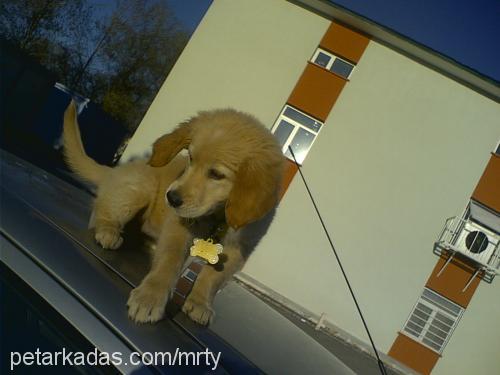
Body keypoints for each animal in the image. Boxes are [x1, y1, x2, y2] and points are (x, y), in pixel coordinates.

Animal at [63, 101, 286, 324]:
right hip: (140, 186)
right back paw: (108, 231)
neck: (218, 216)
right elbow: (169, 261)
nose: (171, 198)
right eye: (191, 158)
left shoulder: (238, 249)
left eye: (216, 174)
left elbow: (212, 278)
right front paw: (150, 297)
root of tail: (116, 170)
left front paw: (200, 303)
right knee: (102, 210)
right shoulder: (180, 226)